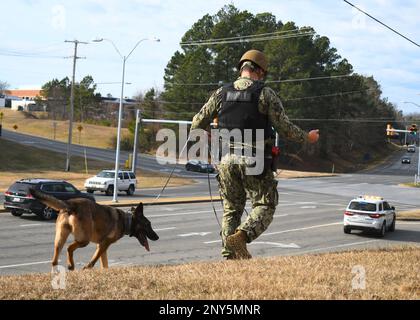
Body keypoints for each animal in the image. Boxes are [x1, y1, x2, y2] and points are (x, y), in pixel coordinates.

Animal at [28, 189, 159, 272]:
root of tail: (71, 204)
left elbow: (104, 264)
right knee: (69, 248)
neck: (126, 220)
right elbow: (94, 260)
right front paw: (87, 268)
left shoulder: (101, 246)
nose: (157, 237)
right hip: (84, 240)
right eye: (148, 224)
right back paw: (71, 265)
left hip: (60, 238)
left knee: (55, 259)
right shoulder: (103, 245)